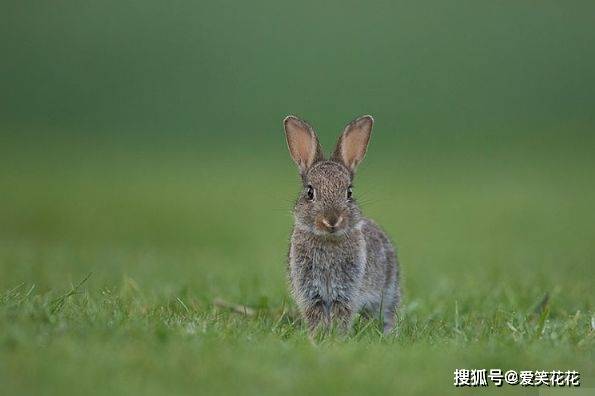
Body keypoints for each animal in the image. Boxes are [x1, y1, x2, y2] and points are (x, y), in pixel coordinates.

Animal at [284, 114, 400, 334]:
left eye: (349, 192)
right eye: (310, 192)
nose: (332, 220)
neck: (328, 240)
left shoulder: (347, 292)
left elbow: (341, 315)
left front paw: (337, 337)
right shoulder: (310, 292)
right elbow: (316, 316)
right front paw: (318, 337)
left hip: (389, 289)